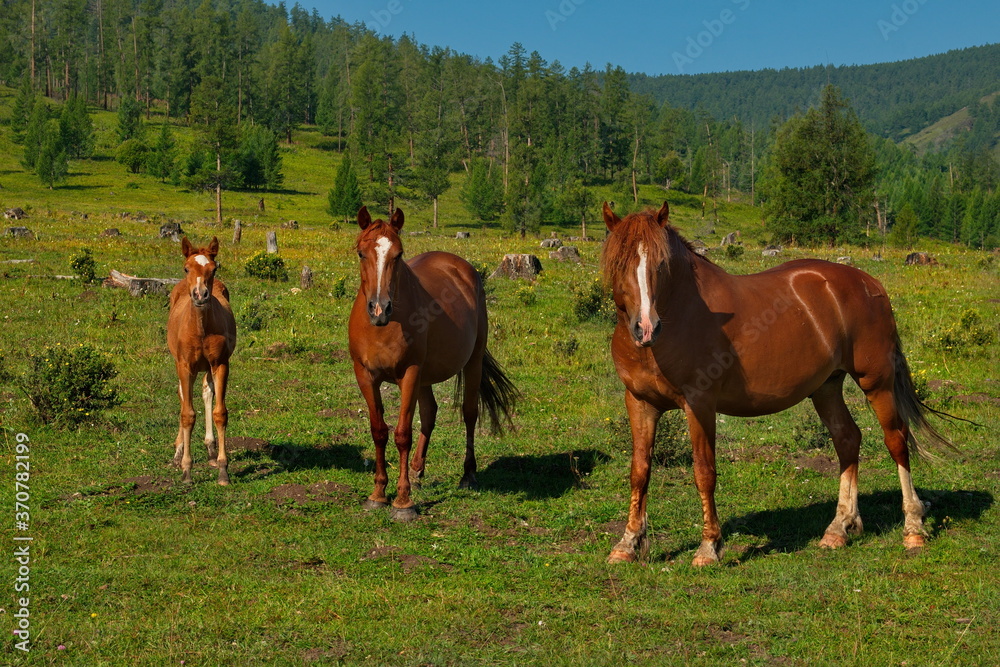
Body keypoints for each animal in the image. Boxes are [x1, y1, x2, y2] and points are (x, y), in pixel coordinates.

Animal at [170, 236, 238, 486]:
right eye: (186, 268)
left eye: (213, 268)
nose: (200, 295)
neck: (199, 329)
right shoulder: (185, 366)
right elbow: (187, 414)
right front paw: (186, 470)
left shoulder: (220, 364)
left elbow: (220, 413)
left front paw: (223, 470)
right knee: (182, 394)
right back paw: (178, 450)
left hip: (208, 367)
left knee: (207, 391)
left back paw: (210, 449)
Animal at [350, 206, 520, 520]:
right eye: (360, 253)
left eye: (399, 254)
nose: (380, 309)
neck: (381, 328)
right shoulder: (365, 375)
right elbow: (379, 431)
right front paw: (378, 494)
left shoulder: (409, 373)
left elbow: (402, 434)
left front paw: (403, 502)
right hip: (425, 378)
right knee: (429, 414)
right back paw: (416, 472)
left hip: (471, 362)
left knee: (469, 413)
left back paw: (468, 475)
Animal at [596, 202, 956, 564]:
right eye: (618, 263)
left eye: (661, 263)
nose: (646, 327)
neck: (679, 316)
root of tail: (869, 282)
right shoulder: (640, 403)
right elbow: (639, 471)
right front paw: (628, 544)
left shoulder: (699, 404)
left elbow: (704, 472)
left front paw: (709, 547)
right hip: (826, 387)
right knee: (847, 439)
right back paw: (838, 529)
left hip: (876, 382)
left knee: (896, 440)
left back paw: (913, 529)